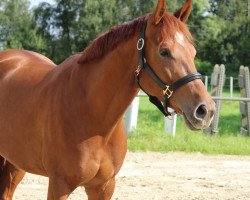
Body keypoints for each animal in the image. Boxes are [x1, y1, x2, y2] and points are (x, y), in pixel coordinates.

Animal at [0, 0, 215, 199]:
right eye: (164, 51)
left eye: (193, 52)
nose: (205, 110)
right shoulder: (59, 185)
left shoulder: (103, 186)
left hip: (16, 163)